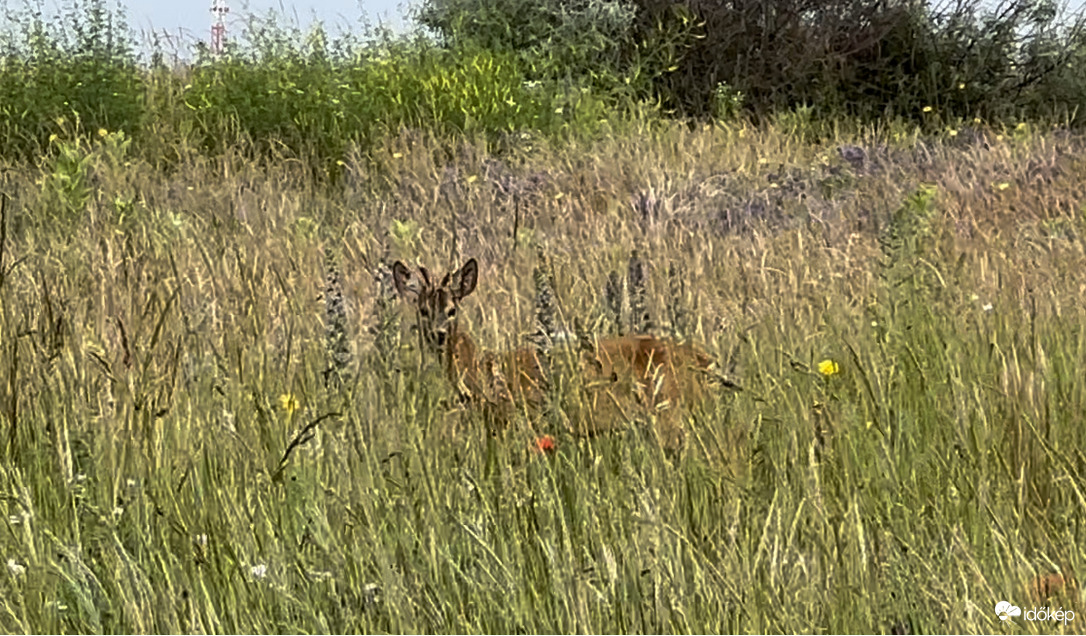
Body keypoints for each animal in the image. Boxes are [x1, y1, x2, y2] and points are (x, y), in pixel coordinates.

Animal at [395, 255, 716, 447]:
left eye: (452, 310)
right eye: (422, 310)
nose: (437, 335)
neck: (482, 370)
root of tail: (704, 360)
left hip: (669, 413)